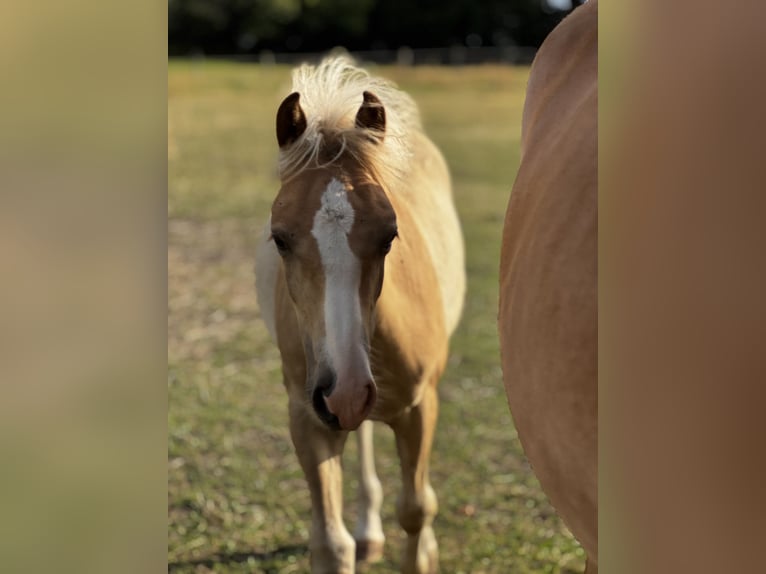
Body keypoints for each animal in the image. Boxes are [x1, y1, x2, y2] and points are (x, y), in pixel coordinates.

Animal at [255, 56, 465, 574]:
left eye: (389, 234)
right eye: (279, 238)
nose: (345, 392)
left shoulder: (419, 409)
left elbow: (416, 507)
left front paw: (423, 553)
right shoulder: (307, 416)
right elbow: (331, 543)